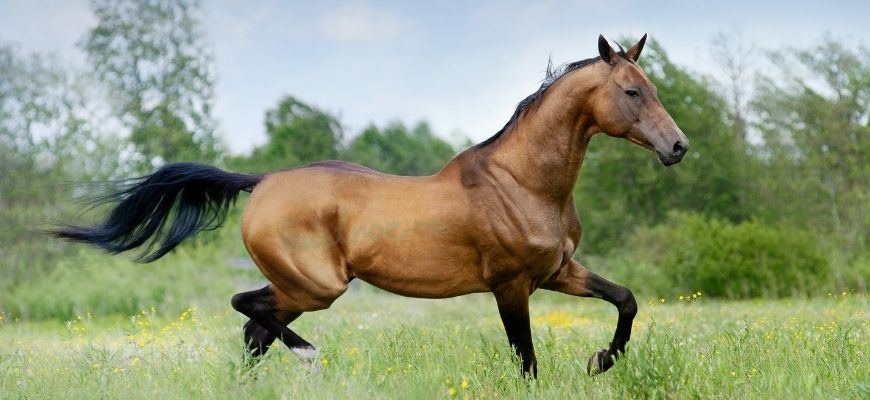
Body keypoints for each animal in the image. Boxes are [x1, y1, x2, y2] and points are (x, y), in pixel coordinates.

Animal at [54, 34, 692, 378]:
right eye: (631, 92)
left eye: (654, 88)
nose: (678, 147)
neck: (524, 183)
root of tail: (263, 182)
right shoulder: (511, 285)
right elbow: (526, 359)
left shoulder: (557, 272)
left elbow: (626, 300)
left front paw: (600, 361)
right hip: (316, 286)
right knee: (246, 309)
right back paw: (311, 357)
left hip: (299, 290)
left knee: (253, 331)